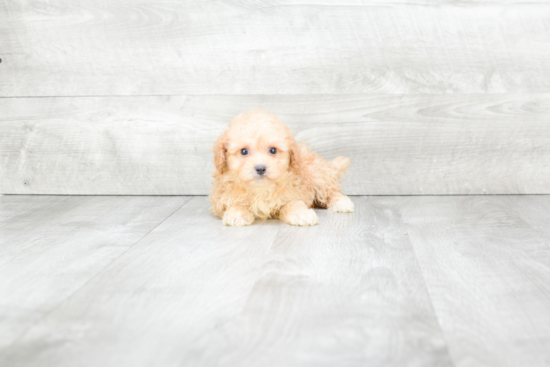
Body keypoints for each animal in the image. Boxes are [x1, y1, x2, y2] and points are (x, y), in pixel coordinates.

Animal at [209, 109, 356, 226]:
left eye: (273, 150)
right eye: (244, 151)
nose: (260, 168)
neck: (260, 189)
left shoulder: (294, 193)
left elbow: (293, 203)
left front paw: (301, 214)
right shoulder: (222, 198)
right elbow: (234, 203)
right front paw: (237, 214)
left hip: (318, 175)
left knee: (330, 191)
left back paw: (341, 202)